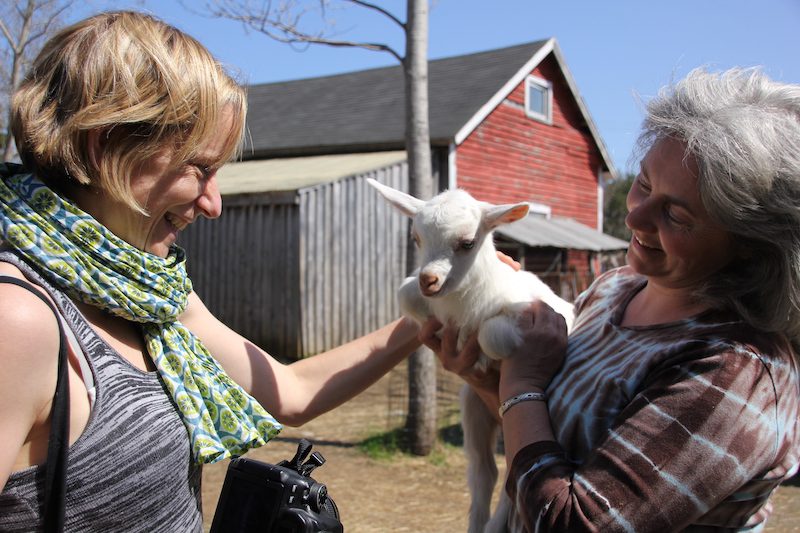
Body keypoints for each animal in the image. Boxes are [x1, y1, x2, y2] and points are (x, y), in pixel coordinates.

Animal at [366, 179, 572, 532]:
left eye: (467, 243)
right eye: (416, 238)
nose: (428, 280)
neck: (466, 302)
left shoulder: (536, 315)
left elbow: (490, 334)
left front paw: (487, 352)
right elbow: (405, 294)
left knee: (515, 475)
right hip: (473, 407)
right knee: (484, 471)